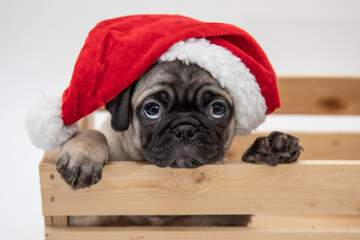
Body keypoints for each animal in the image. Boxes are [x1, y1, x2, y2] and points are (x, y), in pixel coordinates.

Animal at [57, 60, 302, 227]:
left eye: (217, 109)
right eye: (152, 109)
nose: (185, 129)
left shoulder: (225, 217)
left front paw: (269, 149)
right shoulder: (82, 219)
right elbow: (94, 133)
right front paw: (83, 156)